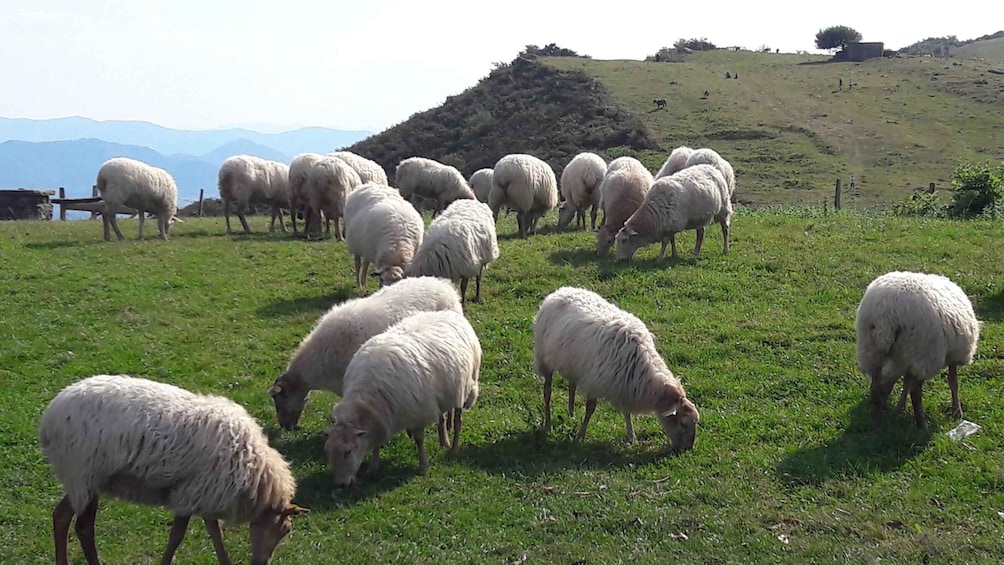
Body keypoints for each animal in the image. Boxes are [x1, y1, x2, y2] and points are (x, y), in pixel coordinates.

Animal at [38, 375, 305, 565]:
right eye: (284, 529)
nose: (262, 563)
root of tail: (49, 419)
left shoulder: (205, 492)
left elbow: (213, 530)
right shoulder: (191, 493)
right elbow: (178, 536)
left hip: (83, 479)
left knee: (67, 520)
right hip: (84, 474)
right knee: (77, 525)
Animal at [321, 309, 477, 485]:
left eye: (348, 452)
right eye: (327, 451)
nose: (340, 484)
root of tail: (449, 312)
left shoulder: (418, 413)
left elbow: (419, 440)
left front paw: (423, 465)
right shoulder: (381, 418)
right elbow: (377, 443)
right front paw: (373, 467)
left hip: (463, 389)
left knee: (457, 422)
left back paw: (454, 449)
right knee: (441, 417)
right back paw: (444, 442)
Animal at [534, 289, 698, 449]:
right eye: (683, 423)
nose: (687, 449)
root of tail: (559, 291)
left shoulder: (625, 384)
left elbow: (627, 412)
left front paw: (632, 437)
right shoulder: (596, 383)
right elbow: (590, 409)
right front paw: (581, 435)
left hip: (572, 363)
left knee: (572, 385)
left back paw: (571, 413)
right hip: (544, 359)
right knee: (547, 392)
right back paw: (548, 425)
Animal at [855, 270, 979, 429]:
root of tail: (885, 312)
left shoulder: (907, 359)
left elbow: (906, 382)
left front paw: (899, 407)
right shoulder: (954, 356)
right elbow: (953, 382)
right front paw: (957, 412)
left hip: (871, 349)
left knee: (875, 387)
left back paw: (877, 422)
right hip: (924, 353)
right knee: (915, 392)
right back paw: (921, 424)